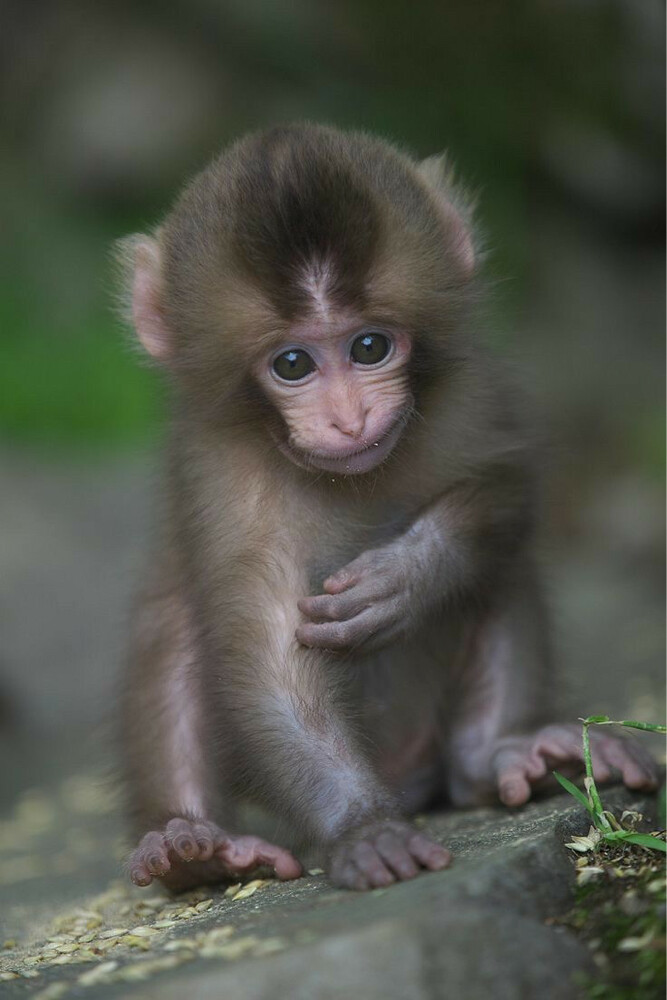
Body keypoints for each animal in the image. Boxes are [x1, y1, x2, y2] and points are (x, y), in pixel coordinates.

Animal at [116, 123, 657, 893]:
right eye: (292, 365)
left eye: (369, 346)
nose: (349, 420)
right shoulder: (227, 472)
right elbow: (270, 650)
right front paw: (363, 826)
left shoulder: (472, 386)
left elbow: (508, 491)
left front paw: (405, 578)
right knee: (174, 630)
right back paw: (194, 846)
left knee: (504, 570)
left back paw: (501, 754)